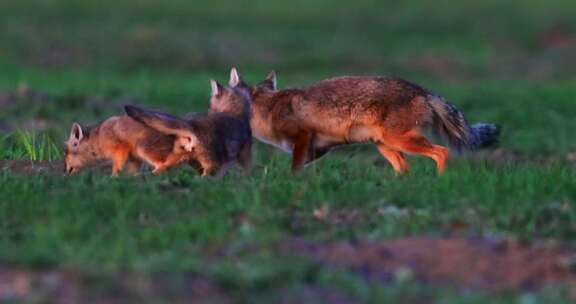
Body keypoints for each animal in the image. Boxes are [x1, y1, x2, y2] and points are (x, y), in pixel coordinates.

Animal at [63, 115, 191, 176]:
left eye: (66, 153)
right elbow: (132, 172)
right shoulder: (134, 158)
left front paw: (113, 178)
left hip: (143, 149)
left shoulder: (121, 150)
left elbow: (116, 168)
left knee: (165, 165)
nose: (64, 172)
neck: (99, 137)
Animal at [124, 67, 252, 176]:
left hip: (178, 160)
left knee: (156, 171)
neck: (233, 112)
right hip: (211, 165)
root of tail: (192, 125)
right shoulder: (244, 156)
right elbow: (246, 172)